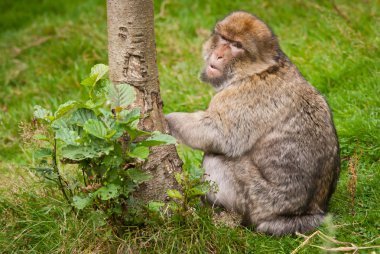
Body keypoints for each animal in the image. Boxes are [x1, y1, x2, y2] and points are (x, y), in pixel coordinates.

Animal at [165, 10, 340, 235]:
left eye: (237, 45)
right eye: (224, 38)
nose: (218, 54)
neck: (258, 69)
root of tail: (305, 213)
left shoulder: (244, 95)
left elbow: (219, 133)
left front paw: (166, 120)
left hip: (259, 200)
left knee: (215, 158)